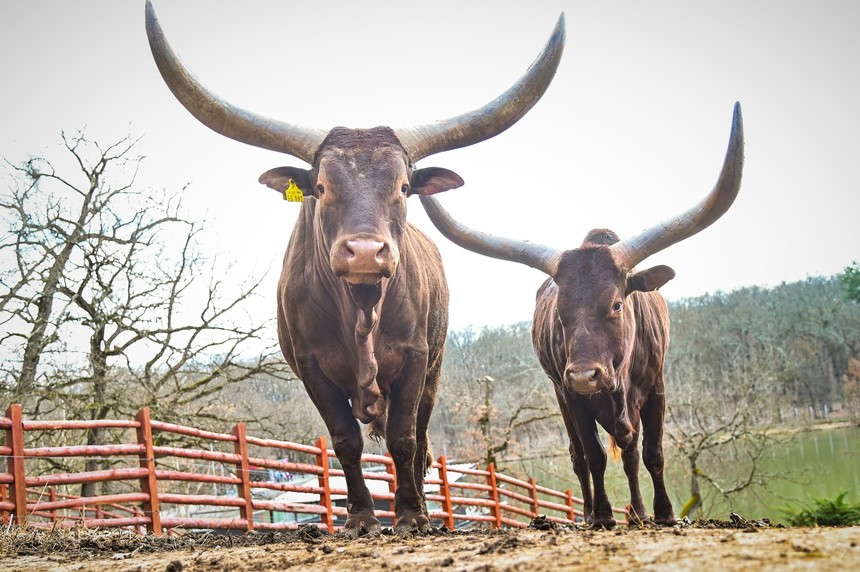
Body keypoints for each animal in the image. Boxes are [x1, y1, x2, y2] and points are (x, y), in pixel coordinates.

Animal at [144, 1, 564, 536]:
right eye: (321, 187)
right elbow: (345, 440)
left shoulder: (415, 360)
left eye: (404, 186)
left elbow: (405, 439)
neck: (362, 309)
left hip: (435, 371)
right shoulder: (311, 366)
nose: (365, 252)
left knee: (420, 442)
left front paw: (409, 514)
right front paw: (362, 516)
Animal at [420, 105, 744, 528]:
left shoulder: (656, 388)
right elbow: (594, 456)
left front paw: (663, 513)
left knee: (631, 453)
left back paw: (638, 512)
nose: (585, 375)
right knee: (580, 458)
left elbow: (652, 454)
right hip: (562, 395)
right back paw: (589, 513)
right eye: (560, 311)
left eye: (617, 304)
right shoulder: (573, 397)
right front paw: (604, 514)